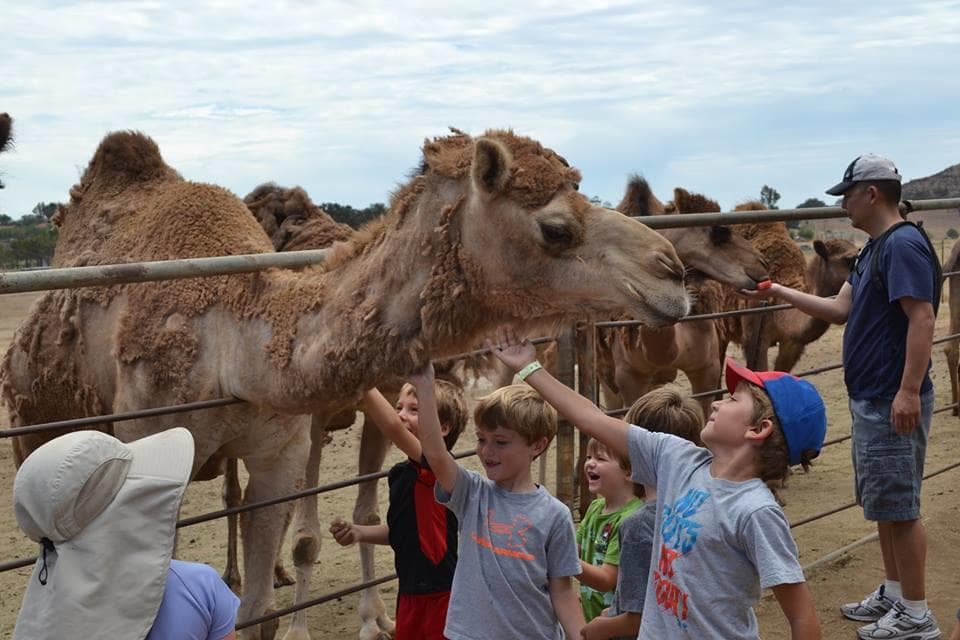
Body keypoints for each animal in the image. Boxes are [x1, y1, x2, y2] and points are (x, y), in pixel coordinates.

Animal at [0, 128, 691, 640]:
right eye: (554, 227)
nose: (671, 273)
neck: (232, 341)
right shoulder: (149, 444)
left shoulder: (279, 454)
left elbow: (256, 615)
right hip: (35, 432)